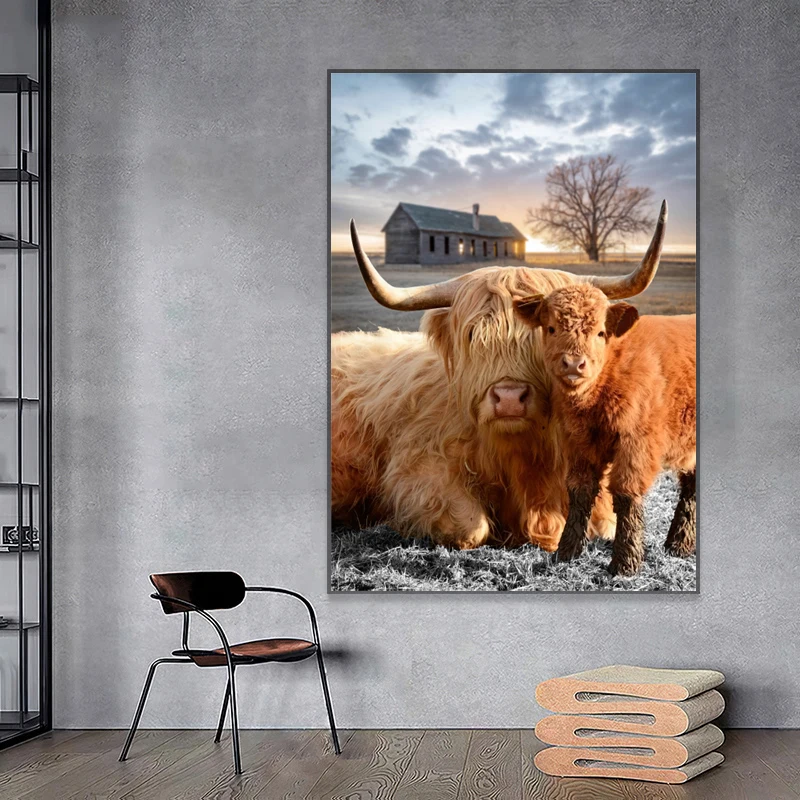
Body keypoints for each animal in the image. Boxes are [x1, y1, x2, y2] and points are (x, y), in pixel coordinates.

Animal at [332, 201, 668, 551]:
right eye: (471, 335)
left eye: (547, 332)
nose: (508, 399)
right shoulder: (414, 472)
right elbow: (471, 526)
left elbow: (605, 523)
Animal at [513, 251, 695, 574]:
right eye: (551, 328)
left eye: (600, 332)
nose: (574, 364)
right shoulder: (579, 442)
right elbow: (579, 491)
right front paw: (566, 553)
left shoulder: (637, 444)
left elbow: (625, 495)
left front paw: (625, 563)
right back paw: (678, 545)